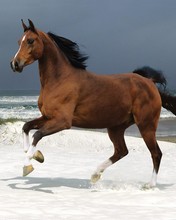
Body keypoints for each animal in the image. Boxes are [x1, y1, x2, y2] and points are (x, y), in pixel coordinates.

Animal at [10, 19, 176, 186]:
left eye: (30, 41)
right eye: (18, 41)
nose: (15, 64)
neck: (59, 79)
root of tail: (150, 82)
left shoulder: (63, 121)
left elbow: (37, 135)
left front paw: (28, 165)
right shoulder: (47, 117)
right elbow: (26, 127)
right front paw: (36, 155)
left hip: (146, 125)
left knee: (156, 153)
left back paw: (150, 185)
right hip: (116, 127)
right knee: (121, 151)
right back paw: (95, 174)